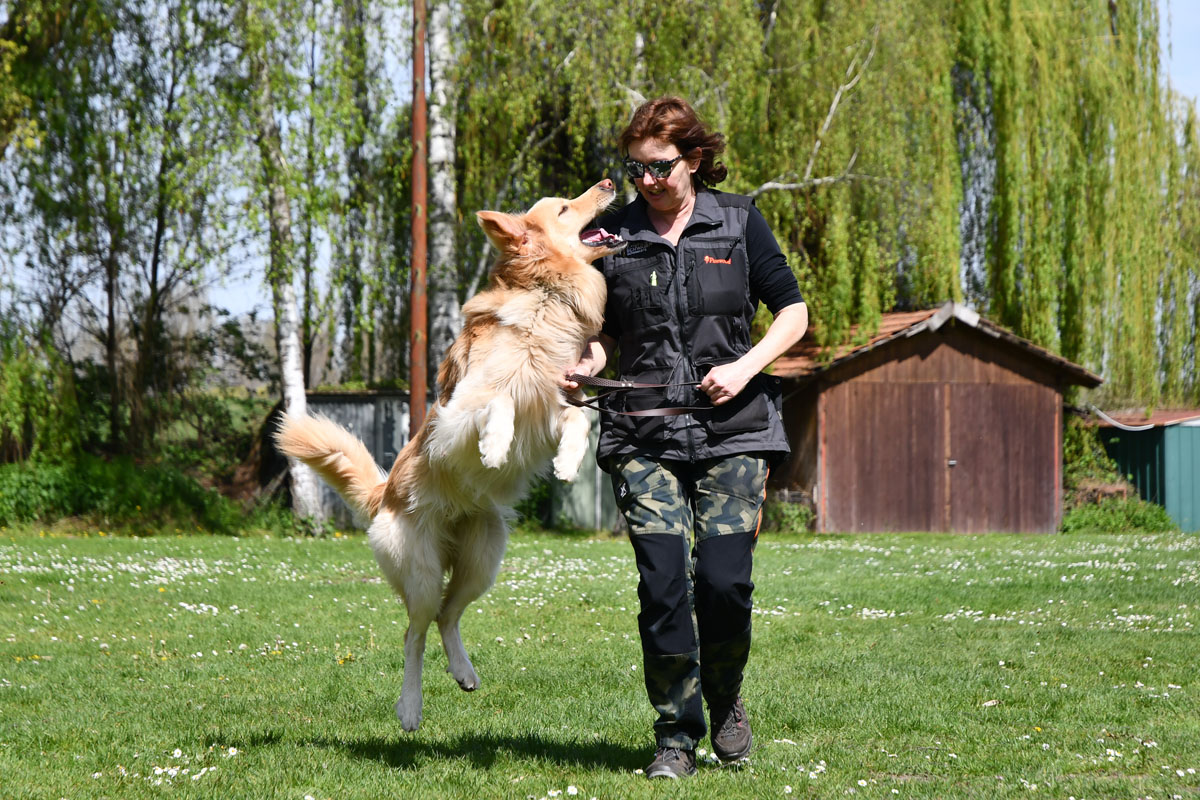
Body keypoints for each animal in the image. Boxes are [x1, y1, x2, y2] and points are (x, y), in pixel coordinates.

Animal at [274, 178, 624, 729]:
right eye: (566, 208)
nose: (610, 181)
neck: (543, 300)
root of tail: (383, 496)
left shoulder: (555, 404)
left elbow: (577, 419)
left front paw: (568, 462)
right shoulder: (451, 417)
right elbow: (498, 401)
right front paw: (495, 446)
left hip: (482, 560)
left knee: (448, 615)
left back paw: (463, 672)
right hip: (419, 573)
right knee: (414, 632)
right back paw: (409, 707)